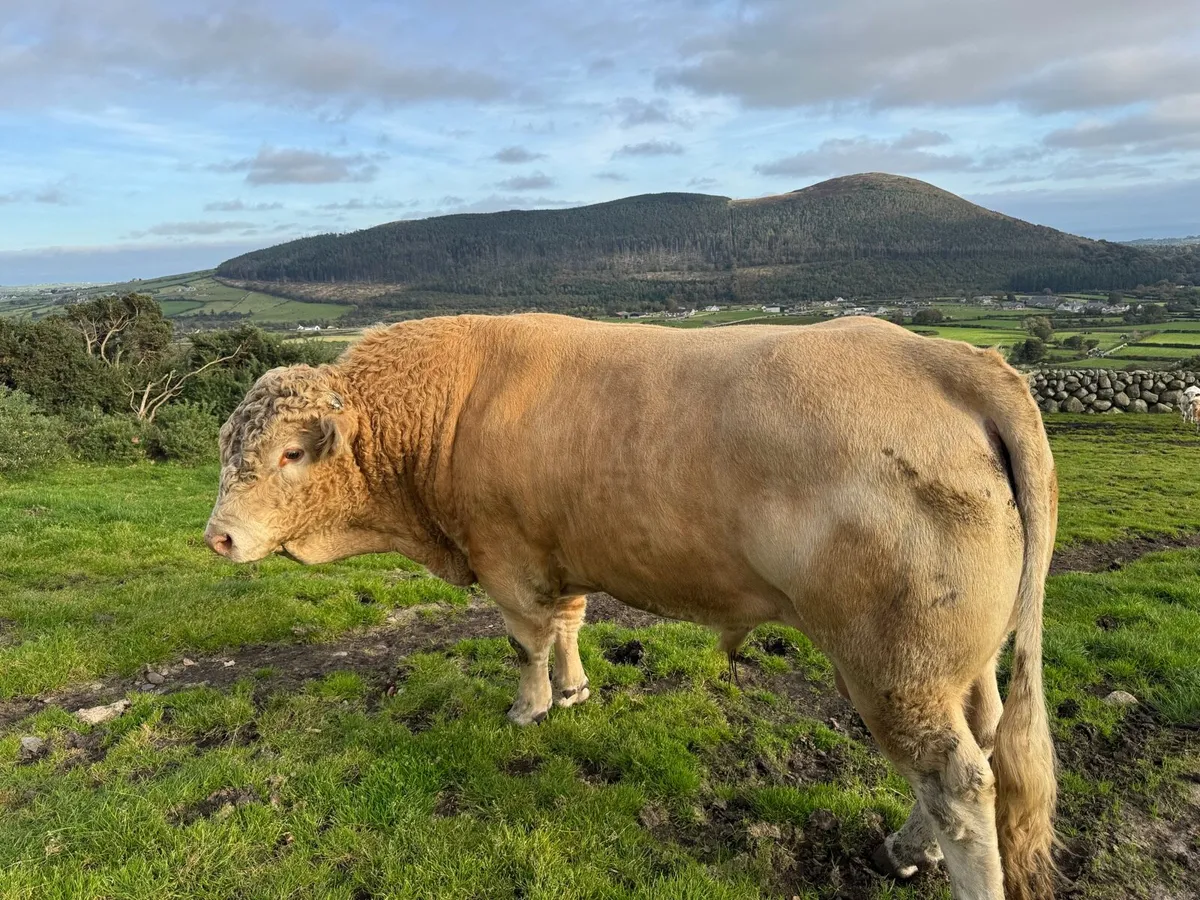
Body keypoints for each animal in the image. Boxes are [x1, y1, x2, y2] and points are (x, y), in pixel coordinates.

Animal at [205, 313, 1058, 900]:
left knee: (956, 781)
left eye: (289, 453)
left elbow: (526, 641)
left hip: (894, 661)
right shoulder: (562, 555)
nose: (217, 536)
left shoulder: (505, 557)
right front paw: (576, 690)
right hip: (954, 663)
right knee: (976, 744)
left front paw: (530, 707)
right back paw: (906, 848)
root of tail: (947, 358)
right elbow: (569, 625)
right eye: (225, 448)